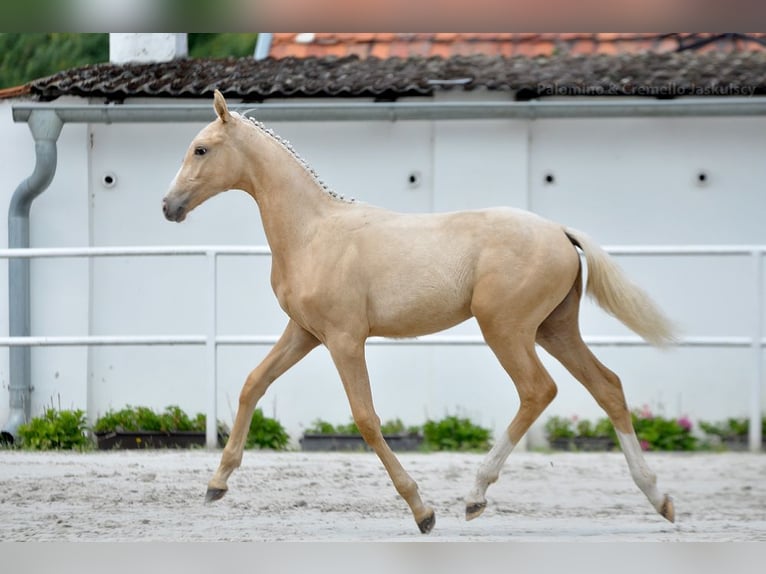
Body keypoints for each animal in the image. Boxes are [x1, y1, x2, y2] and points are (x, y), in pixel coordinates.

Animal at [162, 90, 677, 534]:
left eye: (201, 149)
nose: (169, 206)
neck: (313, 232)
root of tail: (560, 232)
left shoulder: (345, 339)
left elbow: (366, 418)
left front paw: (423, 511)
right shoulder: (304, 333)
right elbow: (253, 384)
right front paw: (216, 485)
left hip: (506, 329)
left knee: (538, 390)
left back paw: (475, 496)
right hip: (555, 329)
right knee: (607, 387)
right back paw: (659, 498)